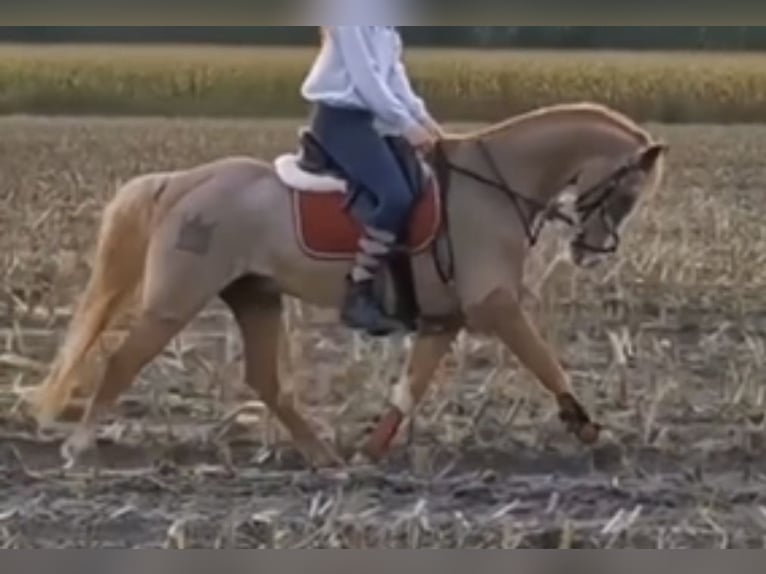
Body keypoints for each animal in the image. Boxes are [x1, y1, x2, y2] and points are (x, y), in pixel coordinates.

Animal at [26, 101, 667, 469]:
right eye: (628, 192)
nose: (591, 251)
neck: (495, 185)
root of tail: (185, 182)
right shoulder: (496, 307)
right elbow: (545, 362)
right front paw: (593, 433)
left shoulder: (445, 321)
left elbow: (409, 388)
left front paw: (370, 452)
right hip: (175, 300)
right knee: (121, 361)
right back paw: (78, 447)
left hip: (256, 296)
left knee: (266, 380)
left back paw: (324, 456)